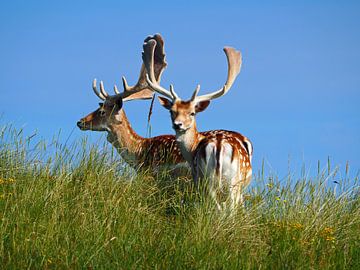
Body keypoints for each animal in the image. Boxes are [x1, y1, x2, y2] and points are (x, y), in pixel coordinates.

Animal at [143, 38, 253, 209]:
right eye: (172, 111)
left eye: (192, 112)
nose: (178, 124)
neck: (192, 148)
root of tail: (219, 146)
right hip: (225, 182)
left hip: (215, 181)